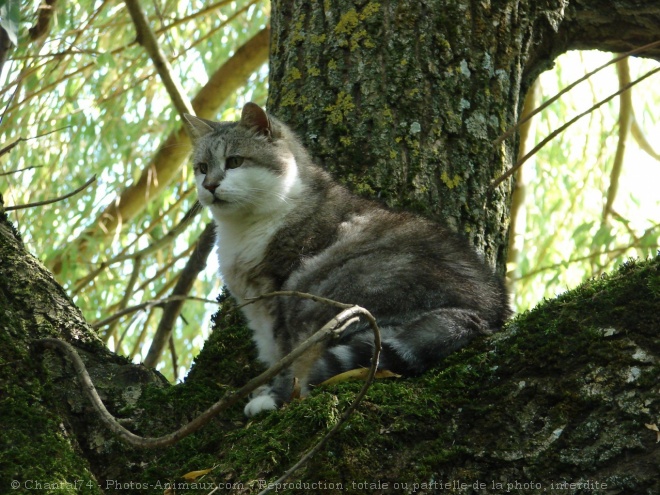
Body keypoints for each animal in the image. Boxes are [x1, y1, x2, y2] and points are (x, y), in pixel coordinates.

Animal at [184, 104, 510, 418]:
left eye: (234, 161)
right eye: (202, 168)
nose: (210, 185)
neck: (245, 226)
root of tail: (484, 311)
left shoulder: (282, 292)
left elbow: (286, 358)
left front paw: (275, 396)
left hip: (342, 290)